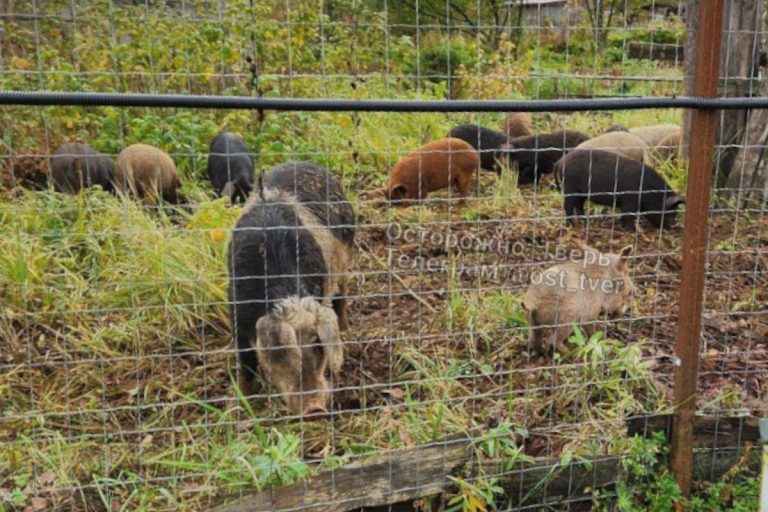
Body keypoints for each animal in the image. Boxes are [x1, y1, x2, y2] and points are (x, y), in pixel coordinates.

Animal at [226, 162, 356, 418]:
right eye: (286, 351)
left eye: (317, 344)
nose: (314, 408)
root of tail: (303, 162)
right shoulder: (238, 315)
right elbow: (246, 365)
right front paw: (239, 405)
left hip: (345, 254)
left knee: (341, 294)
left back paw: (345, 329)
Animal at [556, 147, 688, 229]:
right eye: (669, 211)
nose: (673, 226)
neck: (649, 190)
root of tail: (561, 162)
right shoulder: (630, 199)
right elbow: (629, 215)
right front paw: (632, 230)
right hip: (569, 187)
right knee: (568, 206)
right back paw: (570, 225)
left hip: (580, 192)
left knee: (578, 206)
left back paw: (585, 223)